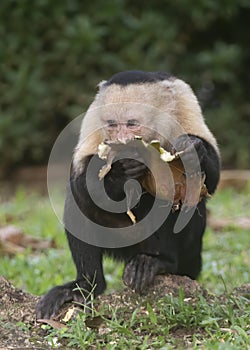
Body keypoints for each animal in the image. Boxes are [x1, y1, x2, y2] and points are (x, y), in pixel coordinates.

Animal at [36, 69, 220, 318]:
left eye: (132, 124)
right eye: (112, 125)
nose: (121, 141)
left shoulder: (184, 100)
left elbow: (211, 180)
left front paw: (192, 150)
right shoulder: (94, 115)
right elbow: (81, 180)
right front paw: (119, 171)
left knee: (181, 198)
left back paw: (160, 262)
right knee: (79, 201)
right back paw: (86, 285)